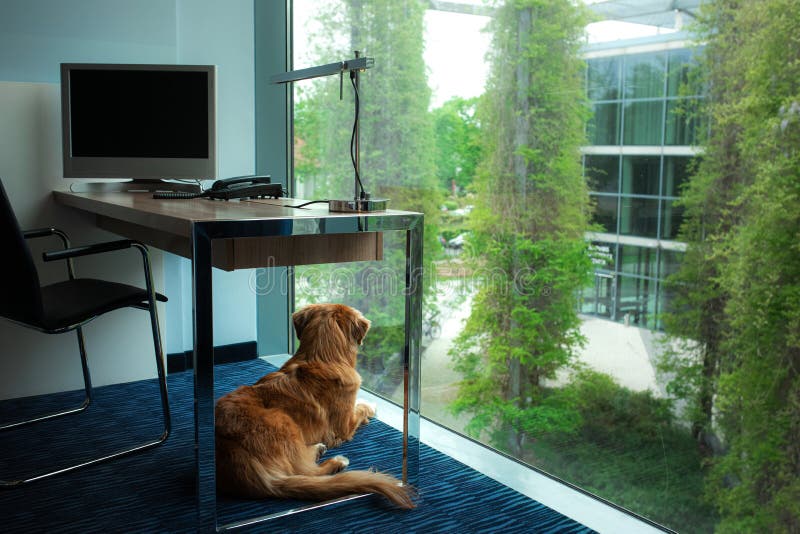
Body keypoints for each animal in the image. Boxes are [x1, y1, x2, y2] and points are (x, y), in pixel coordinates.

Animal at [214, 304, 412, 508]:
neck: (320, 358)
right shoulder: (345, 426)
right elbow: (361, 407)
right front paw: (371, 405)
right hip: (283, 422)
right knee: (306, 471)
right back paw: (335, 461)